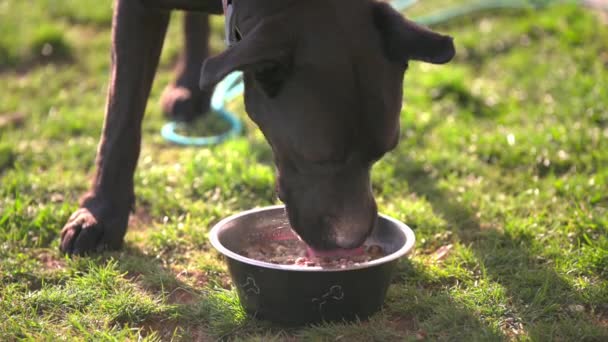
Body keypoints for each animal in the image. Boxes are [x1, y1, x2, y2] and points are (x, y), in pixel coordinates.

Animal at [59, 0, 454, 255]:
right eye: (317, 159)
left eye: (382, 151)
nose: (353, 243)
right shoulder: (136, 9)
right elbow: (121, 118)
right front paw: (100, 215)